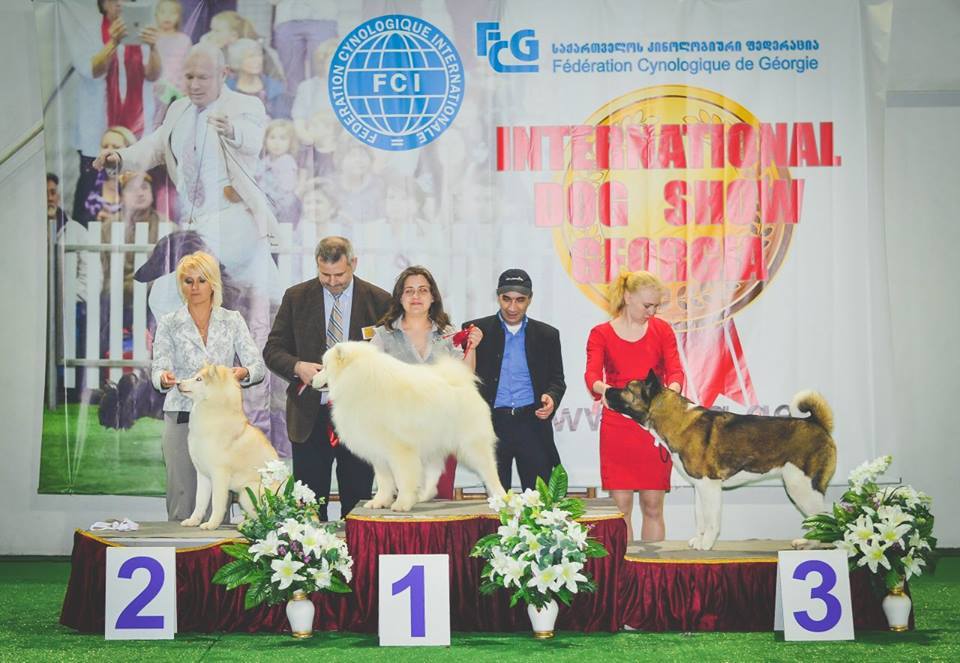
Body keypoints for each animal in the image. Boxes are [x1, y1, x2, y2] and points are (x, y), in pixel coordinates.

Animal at [177, 364, 279, 529]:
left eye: (199, 379)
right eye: (195, 376)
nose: (178, 383)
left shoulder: (219, 475)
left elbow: (217, 503)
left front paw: (211, 524)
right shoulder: (203, 474)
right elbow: (200, 502)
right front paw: (193, 521)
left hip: (246, 493)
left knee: (268, 518)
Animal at [311, 341, 505, 512]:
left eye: (325, 367)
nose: (312, 379)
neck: (358, 383)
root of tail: (463, 383)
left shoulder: (400, 450)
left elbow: (403, 480)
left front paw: (402, 504)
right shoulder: (379, 453)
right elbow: (384, 482)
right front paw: (379, 502)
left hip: (471, 445)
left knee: (489, 470)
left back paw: (500, 496)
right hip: (432, 445)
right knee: (434, 474)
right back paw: (424, 495)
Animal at [605, 371, 836, 550]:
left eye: (627, 388)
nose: (605, 390)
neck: (675, 419)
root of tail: (817, 423)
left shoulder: (710, 486)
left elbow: (711, 520)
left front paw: (706, 544)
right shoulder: (700, 487)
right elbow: (700, 517)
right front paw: (699, 540)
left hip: (801, 486)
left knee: (824, 518)